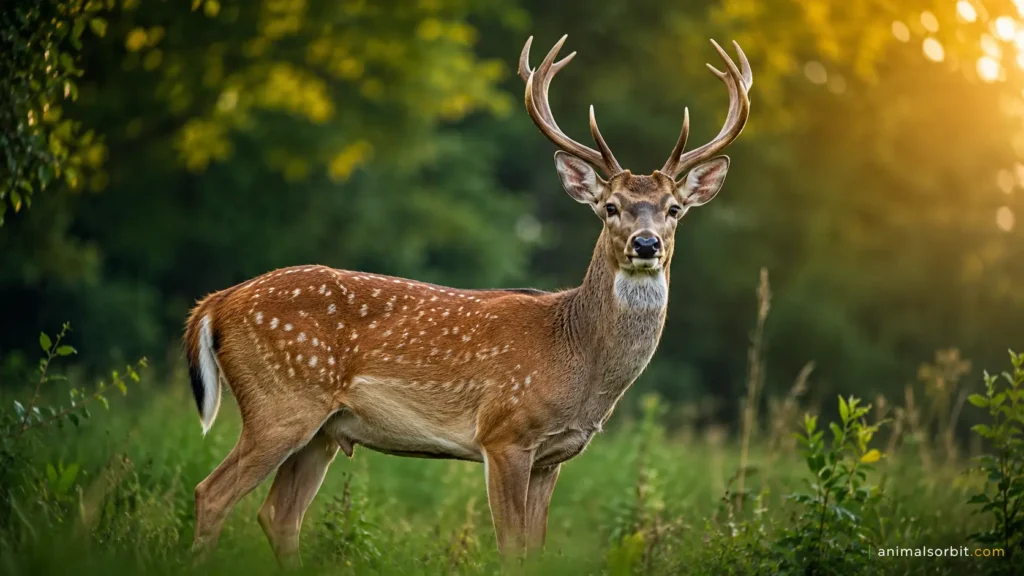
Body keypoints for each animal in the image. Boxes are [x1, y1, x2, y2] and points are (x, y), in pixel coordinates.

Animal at [182, 34, 752, 565]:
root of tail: (215, 303)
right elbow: (511, 547)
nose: (646, 244)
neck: (577, 357)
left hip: (322, 430)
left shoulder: (553, 457)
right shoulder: (503, 434)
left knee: (278, 515)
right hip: (280, 402)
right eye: (610, 206)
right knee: (212, 493)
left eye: (674, 208)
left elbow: (536, 549)